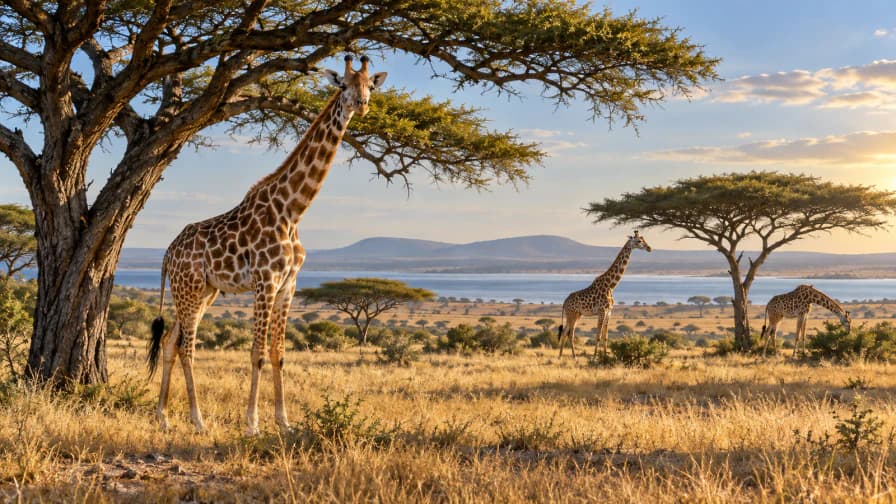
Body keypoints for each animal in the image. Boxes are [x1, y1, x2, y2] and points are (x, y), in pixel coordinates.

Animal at [147, 55, 387, 435]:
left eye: (370, 85)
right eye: (343, 85)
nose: (361, 104)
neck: (293, 210)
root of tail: (168, 253)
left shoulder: (289, 284)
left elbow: (279, 354)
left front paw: (285, 423)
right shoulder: (265, 282)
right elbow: (257, 354)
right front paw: (252, 424)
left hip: (204, 291)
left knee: (171, 342)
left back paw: (164, 417)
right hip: (190, 288)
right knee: (187, 347)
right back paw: (198, 420)